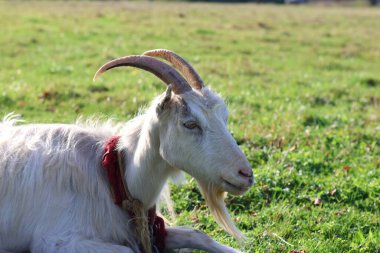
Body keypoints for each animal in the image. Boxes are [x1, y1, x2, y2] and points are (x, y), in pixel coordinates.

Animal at [0, 49, 255, 253]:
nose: (246, 174)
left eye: (224, 118)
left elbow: (198, 234)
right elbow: (128, 250)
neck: (112, 174)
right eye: (190, 124)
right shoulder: (56, 241)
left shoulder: (151, 230)